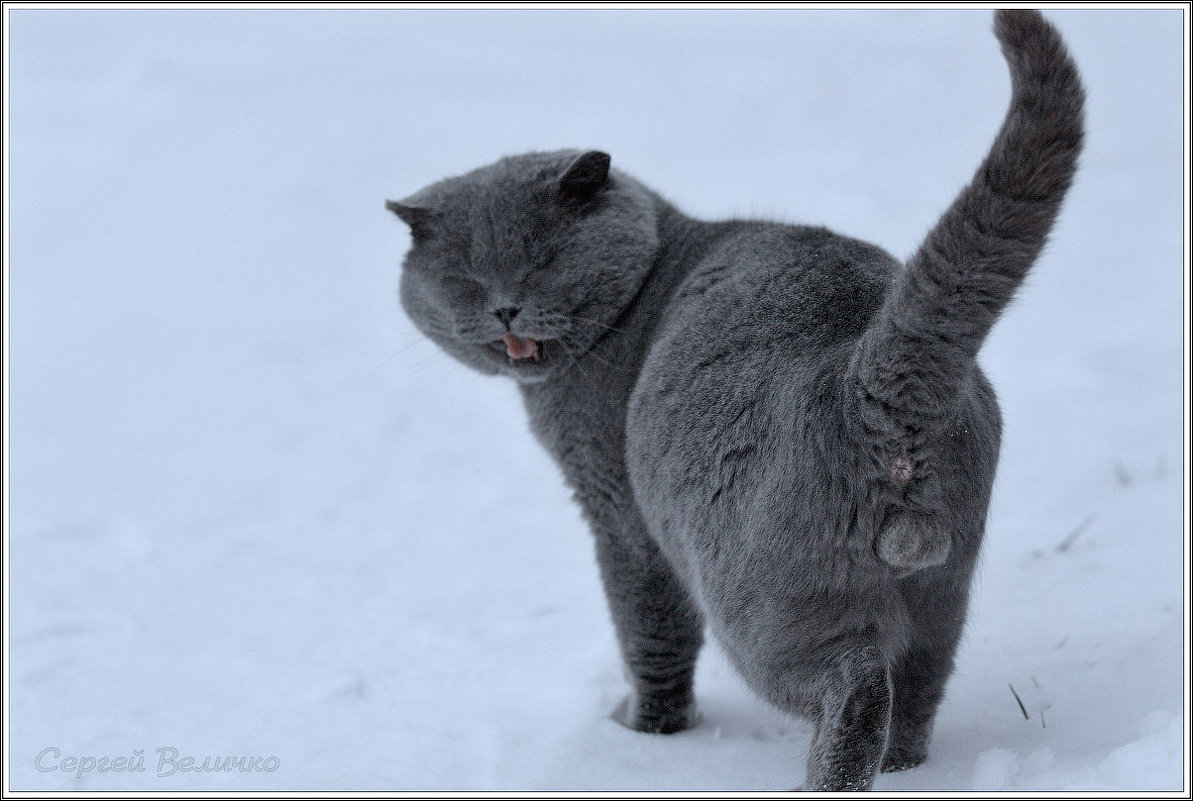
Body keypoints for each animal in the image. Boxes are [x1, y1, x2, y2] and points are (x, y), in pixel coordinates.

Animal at [386, 9, 1088, 792]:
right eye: (466, 279)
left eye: (542, 261)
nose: (505, 308)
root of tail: (863, 376)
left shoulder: (621, 515)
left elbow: (648, 630)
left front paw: (645, 733)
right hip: (941, 587)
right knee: (915, 686)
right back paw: (902, 769)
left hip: (760, 598)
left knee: (853, 683)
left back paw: (820, 778)